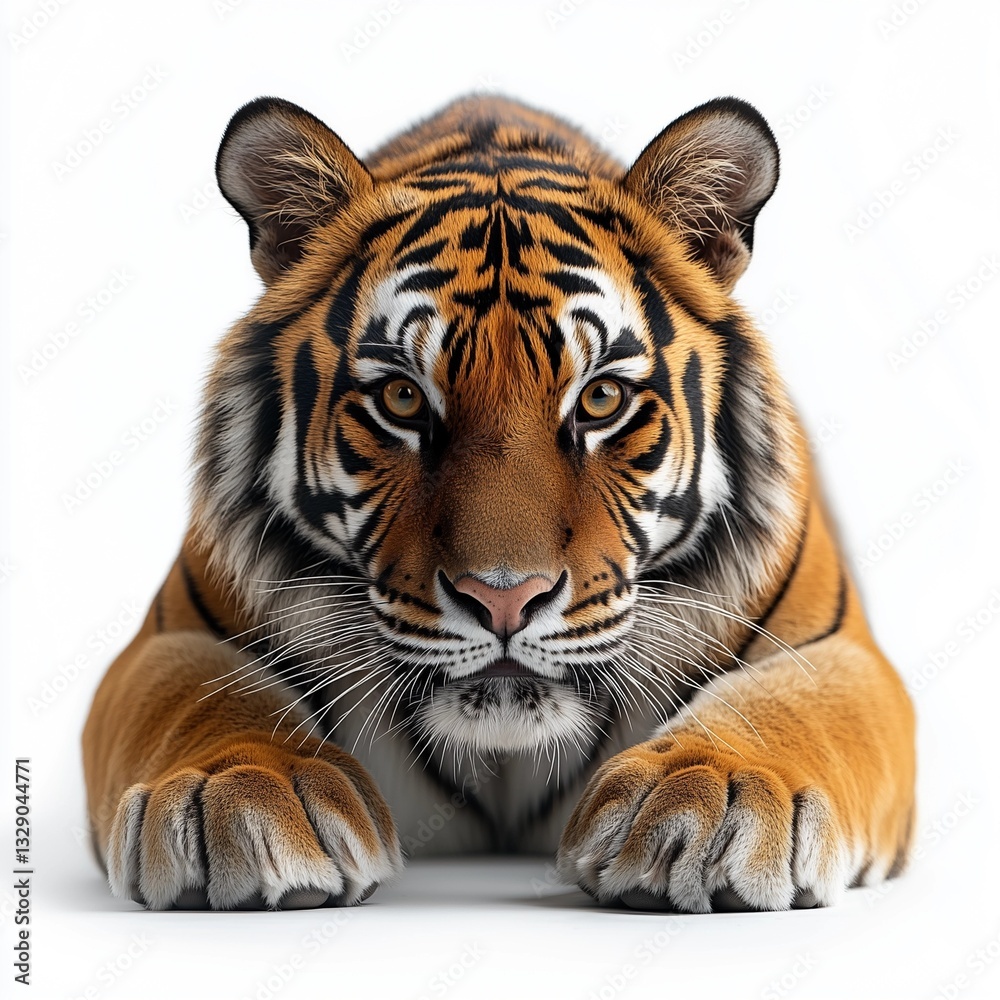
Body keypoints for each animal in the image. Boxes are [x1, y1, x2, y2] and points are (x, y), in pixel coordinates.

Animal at [82, 93, 916, 913]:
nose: (504, 599)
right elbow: (201, 696)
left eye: (602, 398)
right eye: (402, 398)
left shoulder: (832, 648)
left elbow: (783, 704)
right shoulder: (172, 634)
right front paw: (240, 788)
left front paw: (712, 794)